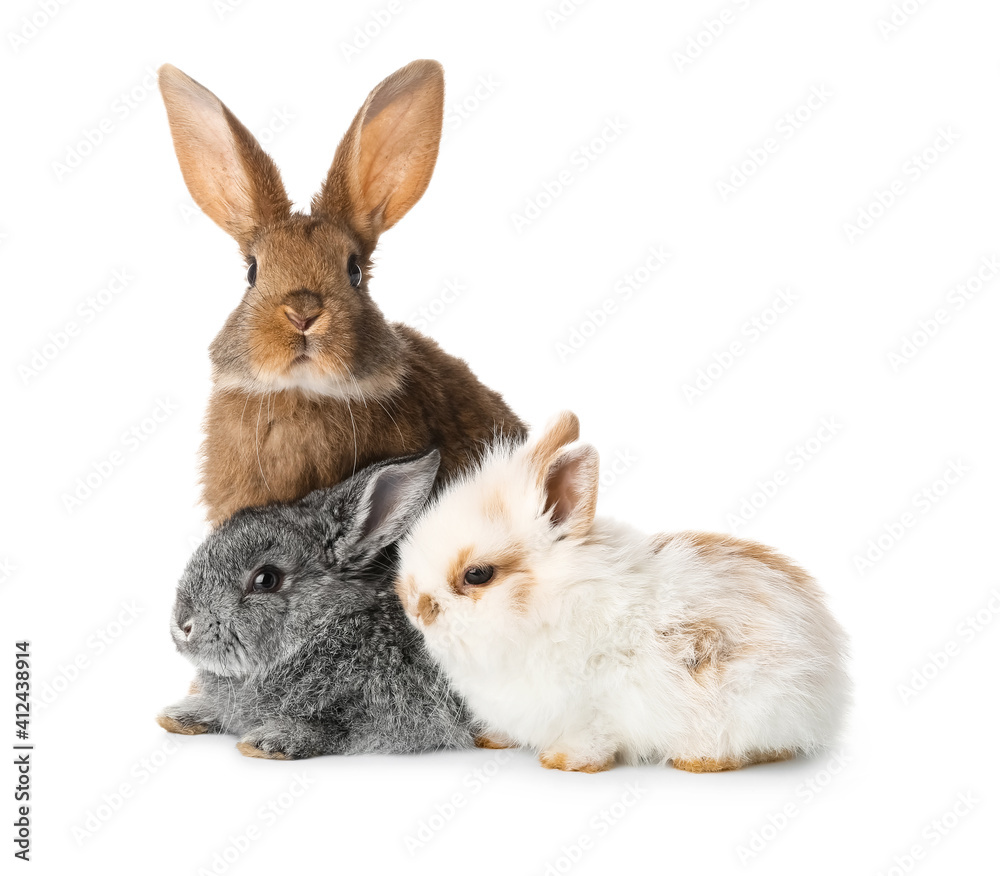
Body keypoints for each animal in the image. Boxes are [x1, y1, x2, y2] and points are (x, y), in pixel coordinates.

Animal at [156, 450, 477, 759]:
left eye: (266, 579)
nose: (183, 625)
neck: (330, 626)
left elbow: (333, 729)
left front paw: (269, 741)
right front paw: (182, 714)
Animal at [395, 412, 851, 773]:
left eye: (477, 575)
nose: (414, 606)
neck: (553, 602)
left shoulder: (591, 708)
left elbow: (591, 741)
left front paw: (562, 762)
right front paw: (492, 741)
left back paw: (700, 761)